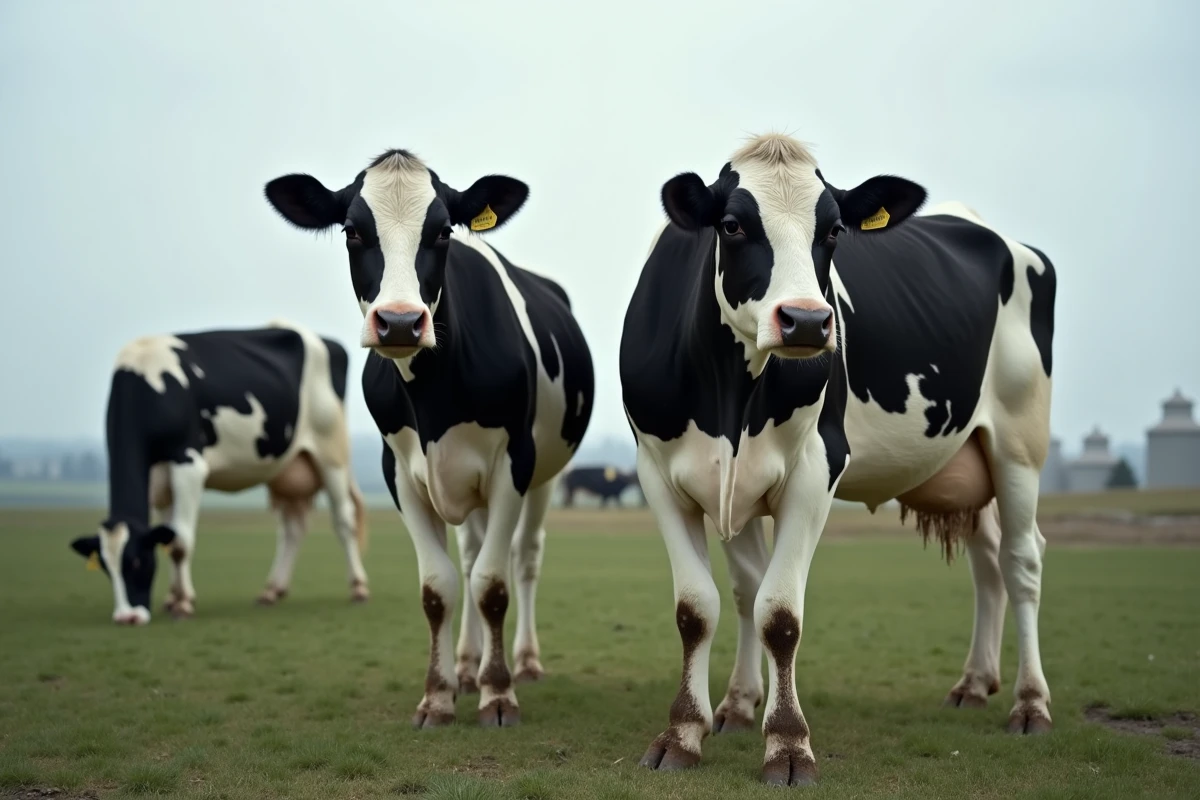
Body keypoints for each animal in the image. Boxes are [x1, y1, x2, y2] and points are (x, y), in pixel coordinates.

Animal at [69, 321, 369, 625]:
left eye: (136, 562)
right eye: (105, 567)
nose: (126, 617)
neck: (148, 380)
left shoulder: (188, 464)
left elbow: (179, 542)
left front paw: (183, 603)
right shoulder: (159, 480)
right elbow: (167, 536)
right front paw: (171, 598)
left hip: (331, 453)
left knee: (343, 519)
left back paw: (358, 587)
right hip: (286, 468)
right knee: (292, 528)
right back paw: (271, 591)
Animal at [263, 149, 595, 728]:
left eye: (442, 231)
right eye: (351, 230)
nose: (399, 322)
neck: (437, 400)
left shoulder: (514, 463)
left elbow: (492, 583)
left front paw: (499, 693)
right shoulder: (399, 472)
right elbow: (440, 585)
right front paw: (439, 694)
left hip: (545, 474)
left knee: (524, 557)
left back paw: (523, 662)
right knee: (472, 553)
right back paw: (466, 666)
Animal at [620, 133, 1056, 786]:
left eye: (833, 231)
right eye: (731, 225)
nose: (806, 320)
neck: (731, 395)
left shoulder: (817, 467)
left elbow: (779, 612)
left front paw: (788, 744)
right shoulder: (662, 473)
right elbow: (708, 605)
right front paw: (692, 730)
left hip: (1019, 443)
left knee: (1022, 561)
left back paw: (1030, 704)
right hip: (967, 458)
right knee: (987, 563)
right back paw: (975, 685)